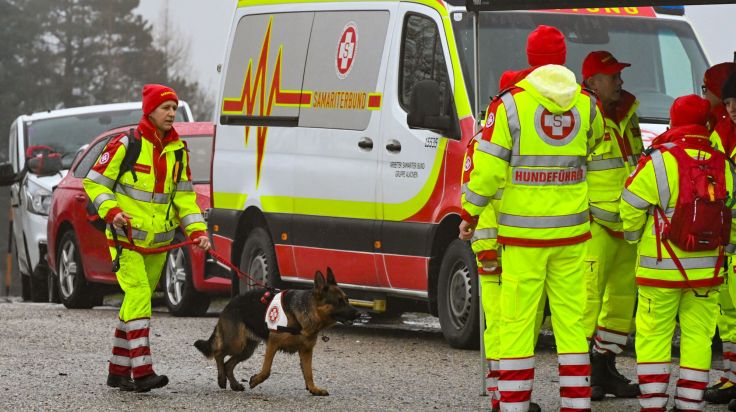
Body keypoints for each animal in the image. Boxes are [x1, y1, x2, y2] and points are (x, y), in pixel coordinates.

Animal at [194, 268, 358, 394]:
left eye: (347, 299)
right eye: (339, 302)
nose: (359, 314)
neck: (307, 311)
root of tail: (230, 303)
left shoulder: (306, 351)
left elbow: (309, 373)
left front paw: (313, 389)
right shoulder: (273, 344)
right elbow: (266, 370)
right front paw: (255, 380)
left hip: (246, 349)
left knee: (228, 364)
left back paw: (234, 384)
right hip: (236, 344)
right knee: (218, 353)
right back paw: (221, 379)